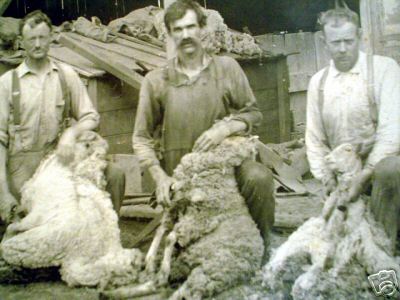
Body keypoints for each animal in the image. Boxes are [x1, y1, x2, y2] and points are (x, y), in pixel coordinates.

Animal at [103, 137, 264, 300]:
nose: (256, 149)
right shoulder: (175, 203)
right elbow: (161, 230)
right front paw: (150, 262)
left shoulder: (200, 217)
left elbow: (170, 237)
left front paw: (159, 267)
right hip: (186, 265)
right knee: (159, 286)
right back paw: (115, 291)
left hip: (211, 271)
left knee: (182, 292)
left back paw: (157, 276)